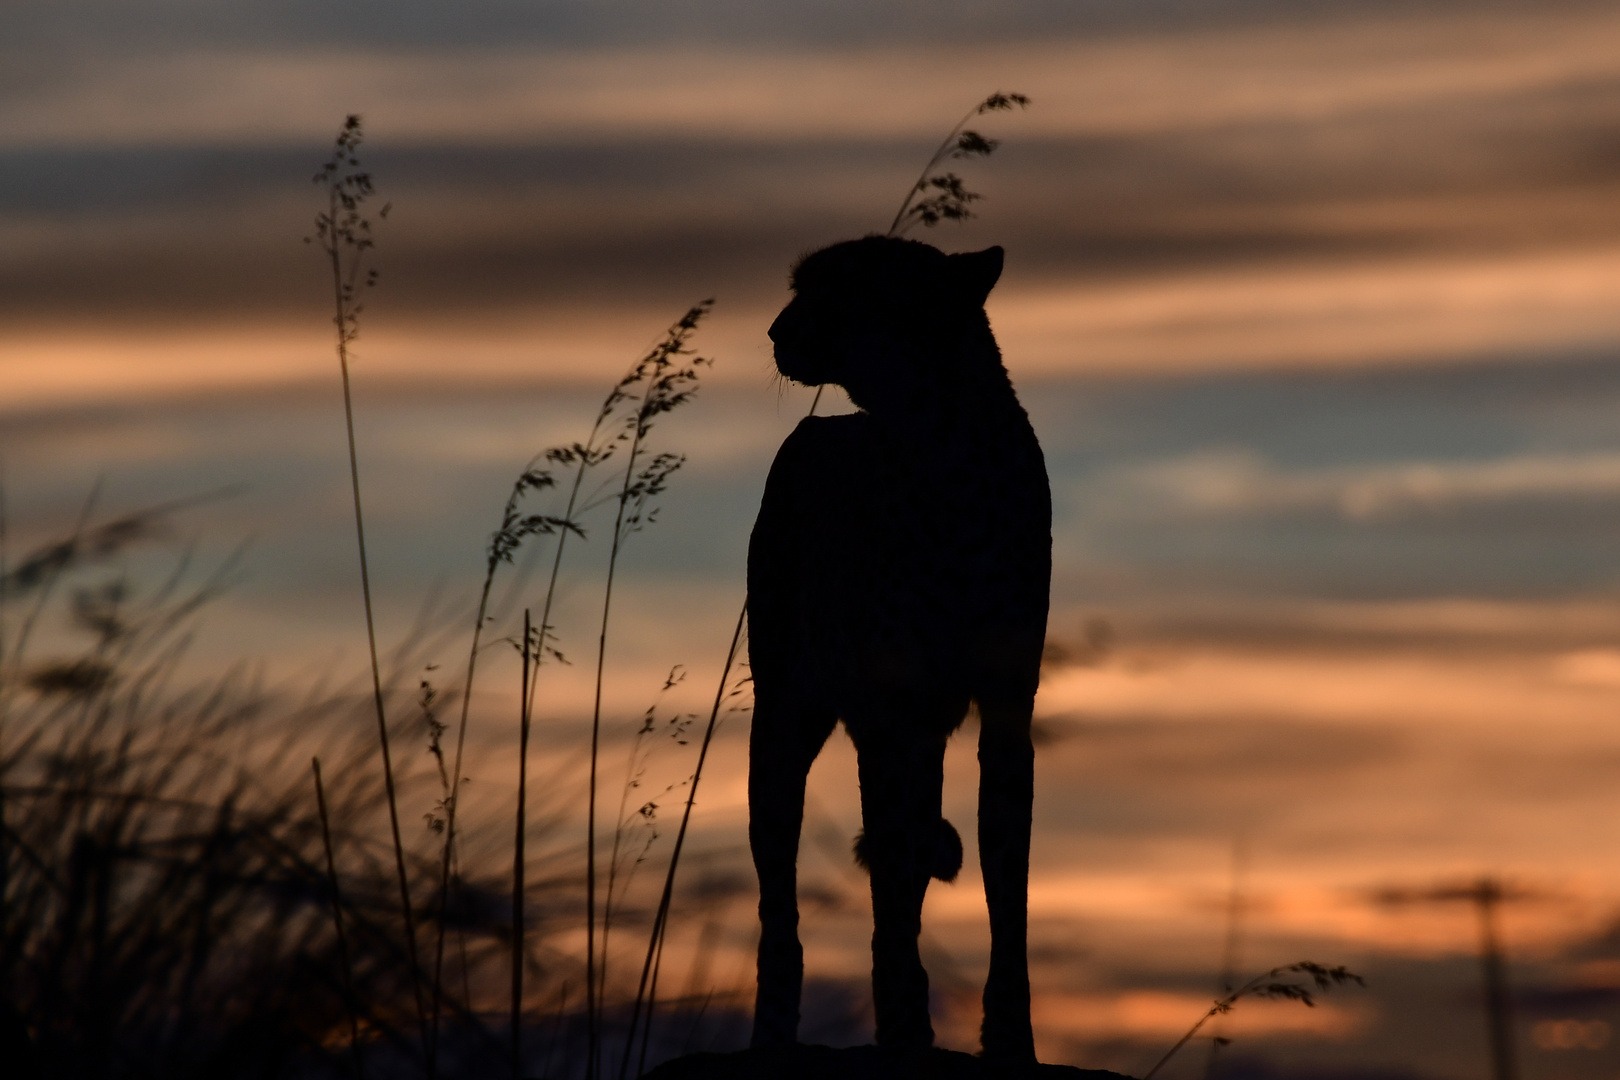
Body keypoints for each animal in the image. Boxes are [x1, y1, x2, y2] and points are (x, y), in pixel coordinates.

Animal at [745, 238, 1049, 1062]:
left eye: (843, 288)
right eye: (801, 286)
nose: (777, 330)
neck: (942, 453)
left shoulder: (1005, 705)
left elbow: (1006, 885)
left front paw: (1009, 1038)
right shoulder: (885, 716)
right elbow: (886, 890)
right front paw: (906, 1028)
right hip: (782, 725)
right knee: (781, 899)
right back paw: (773, 1031)